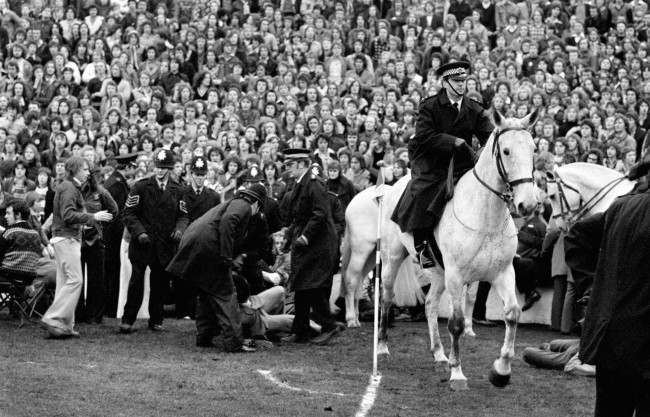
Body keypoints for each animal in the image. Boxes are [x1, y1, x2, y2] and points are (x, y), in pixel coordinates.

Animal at [372, 111, 540, 390]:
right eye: (506, 151)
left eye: (533, 149)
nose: (528, 204)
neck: (486, 217)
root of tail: (396, 184)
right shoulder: (456, 276)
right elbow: (457, 324)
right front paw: (458, 374)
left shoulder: (503, 273)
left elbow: (513, 314)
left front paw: (501, 371)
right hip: (392, 258)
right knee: (387, 297)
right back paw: (383, 349)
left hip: (439, 273)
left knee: (430, 304)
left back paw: (439, 354)